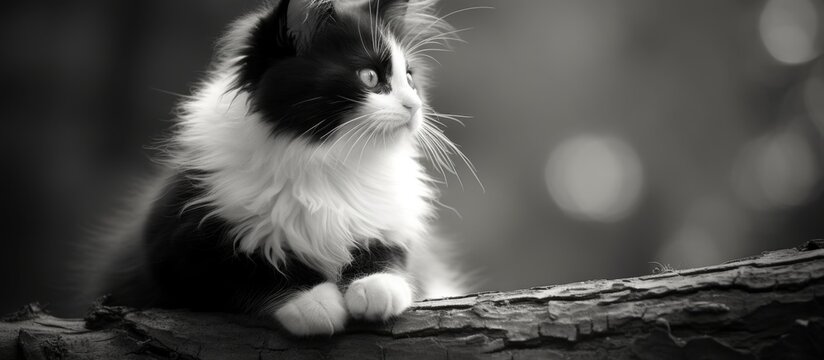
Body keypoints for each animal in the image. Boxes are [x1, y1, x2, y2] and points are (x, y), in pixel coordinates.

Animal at [86, 0, 474, 338]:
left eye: (409, 77)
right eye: (369, 77)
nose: (414, 105)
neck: (328, 162)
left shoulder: (391, 223)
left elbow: (389, 254)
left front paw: (376, 287)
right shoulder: (174, 240)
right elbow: (242, 269)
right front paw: (311, 301)